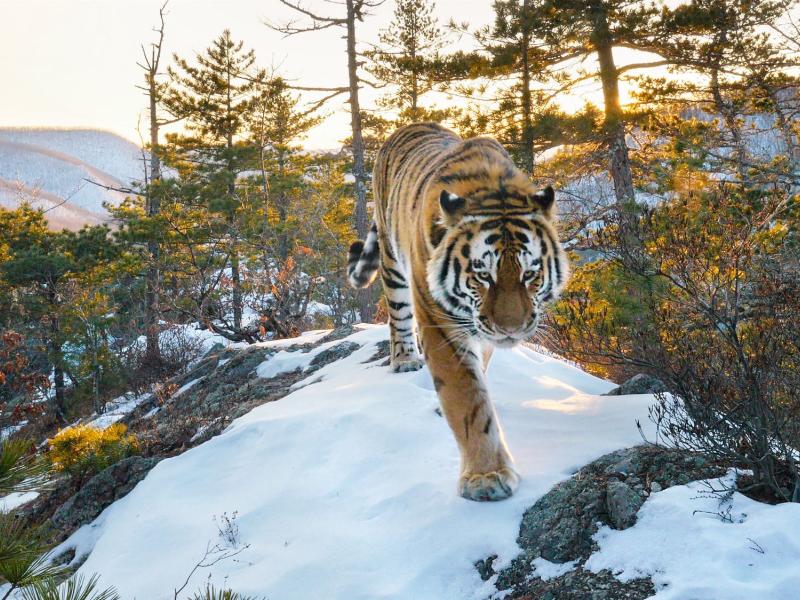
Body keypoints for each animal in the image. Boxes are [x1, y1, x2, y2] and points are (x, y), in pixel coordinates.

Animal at [347, 122, 569, 502]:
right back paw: (404, 359)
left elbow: (479, 369)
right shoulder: (441, 322)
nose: (511, 329)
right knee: (398, 318)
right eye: (483, 275)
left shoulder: (483, 330)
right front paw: (486, 476)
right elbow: (467, 400)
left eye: (530, 273)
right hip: (393, 265)